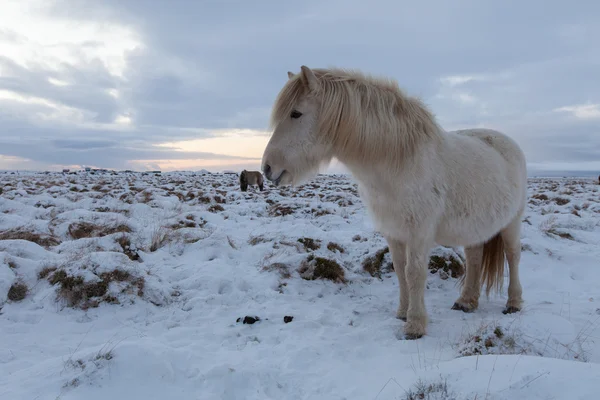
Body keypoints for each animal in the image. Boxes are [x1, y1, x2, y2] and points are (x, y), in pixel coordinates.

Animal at [262, 66, 524, 340]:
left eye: (296, 113)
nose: (267, 168)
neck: (399, 162)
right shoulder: (393, 231)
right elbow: (400, 269)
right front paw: (402, 313)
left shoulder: (419, 233)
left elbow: (415, 272)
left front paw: (415, 325)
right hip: (473, 228)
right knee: (474, 258)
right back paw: (466, 302)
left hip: (512, 222)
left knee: (513, 255)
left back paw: (513, 303)